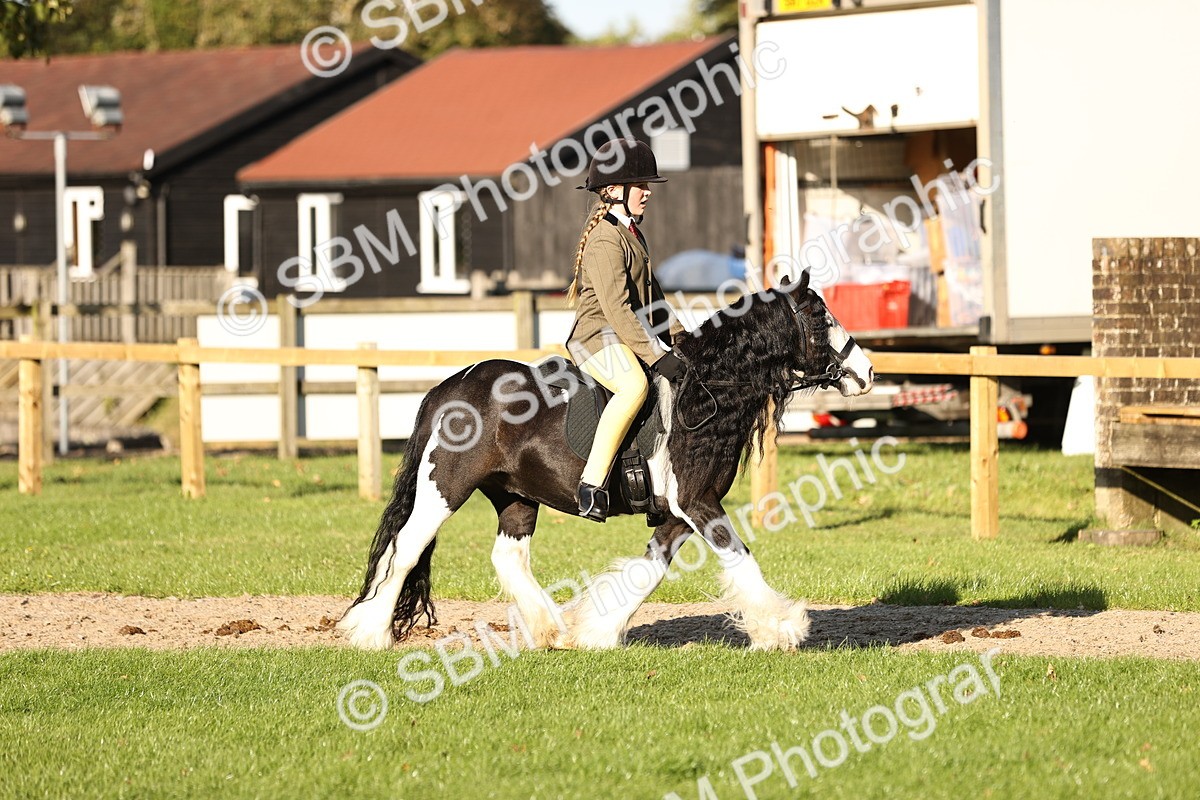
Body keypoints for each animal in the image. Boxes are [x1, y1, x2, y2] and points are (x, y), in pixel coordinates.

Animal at [337, 271, 875, 652]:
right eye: (821, 318)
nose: (867, 372)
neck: (707, 390)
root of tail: (450, 388)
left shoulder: (679, 511)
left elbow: (651, 569)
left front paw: (596, 631)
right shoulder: (697, 502)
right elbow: (738, 555)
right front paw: (784, 627)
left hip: (515, 496)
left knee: (507, 556)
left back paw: (551, 630)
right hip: (446, 487)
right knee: (406, 547)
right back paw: (371, 633)